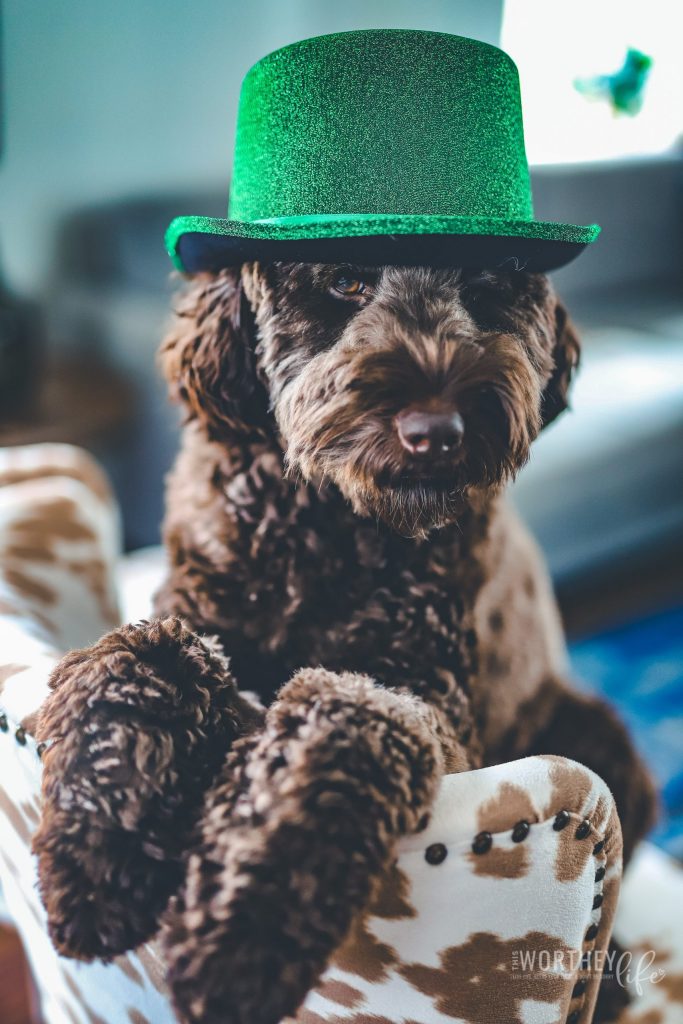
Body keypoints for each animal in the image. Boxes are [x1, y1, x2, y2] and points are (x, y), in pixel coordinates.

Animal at [33, 262, 655, 1024]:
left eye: (486, 280)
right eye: (346, 284)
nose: (437, 431)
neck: (320, 525)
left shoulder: (432, 709)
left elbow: (345, 719)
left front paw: (242, 924)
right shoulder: (187, 614)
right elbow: (139, 656)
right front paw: (95, 856)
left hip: (601, 742)